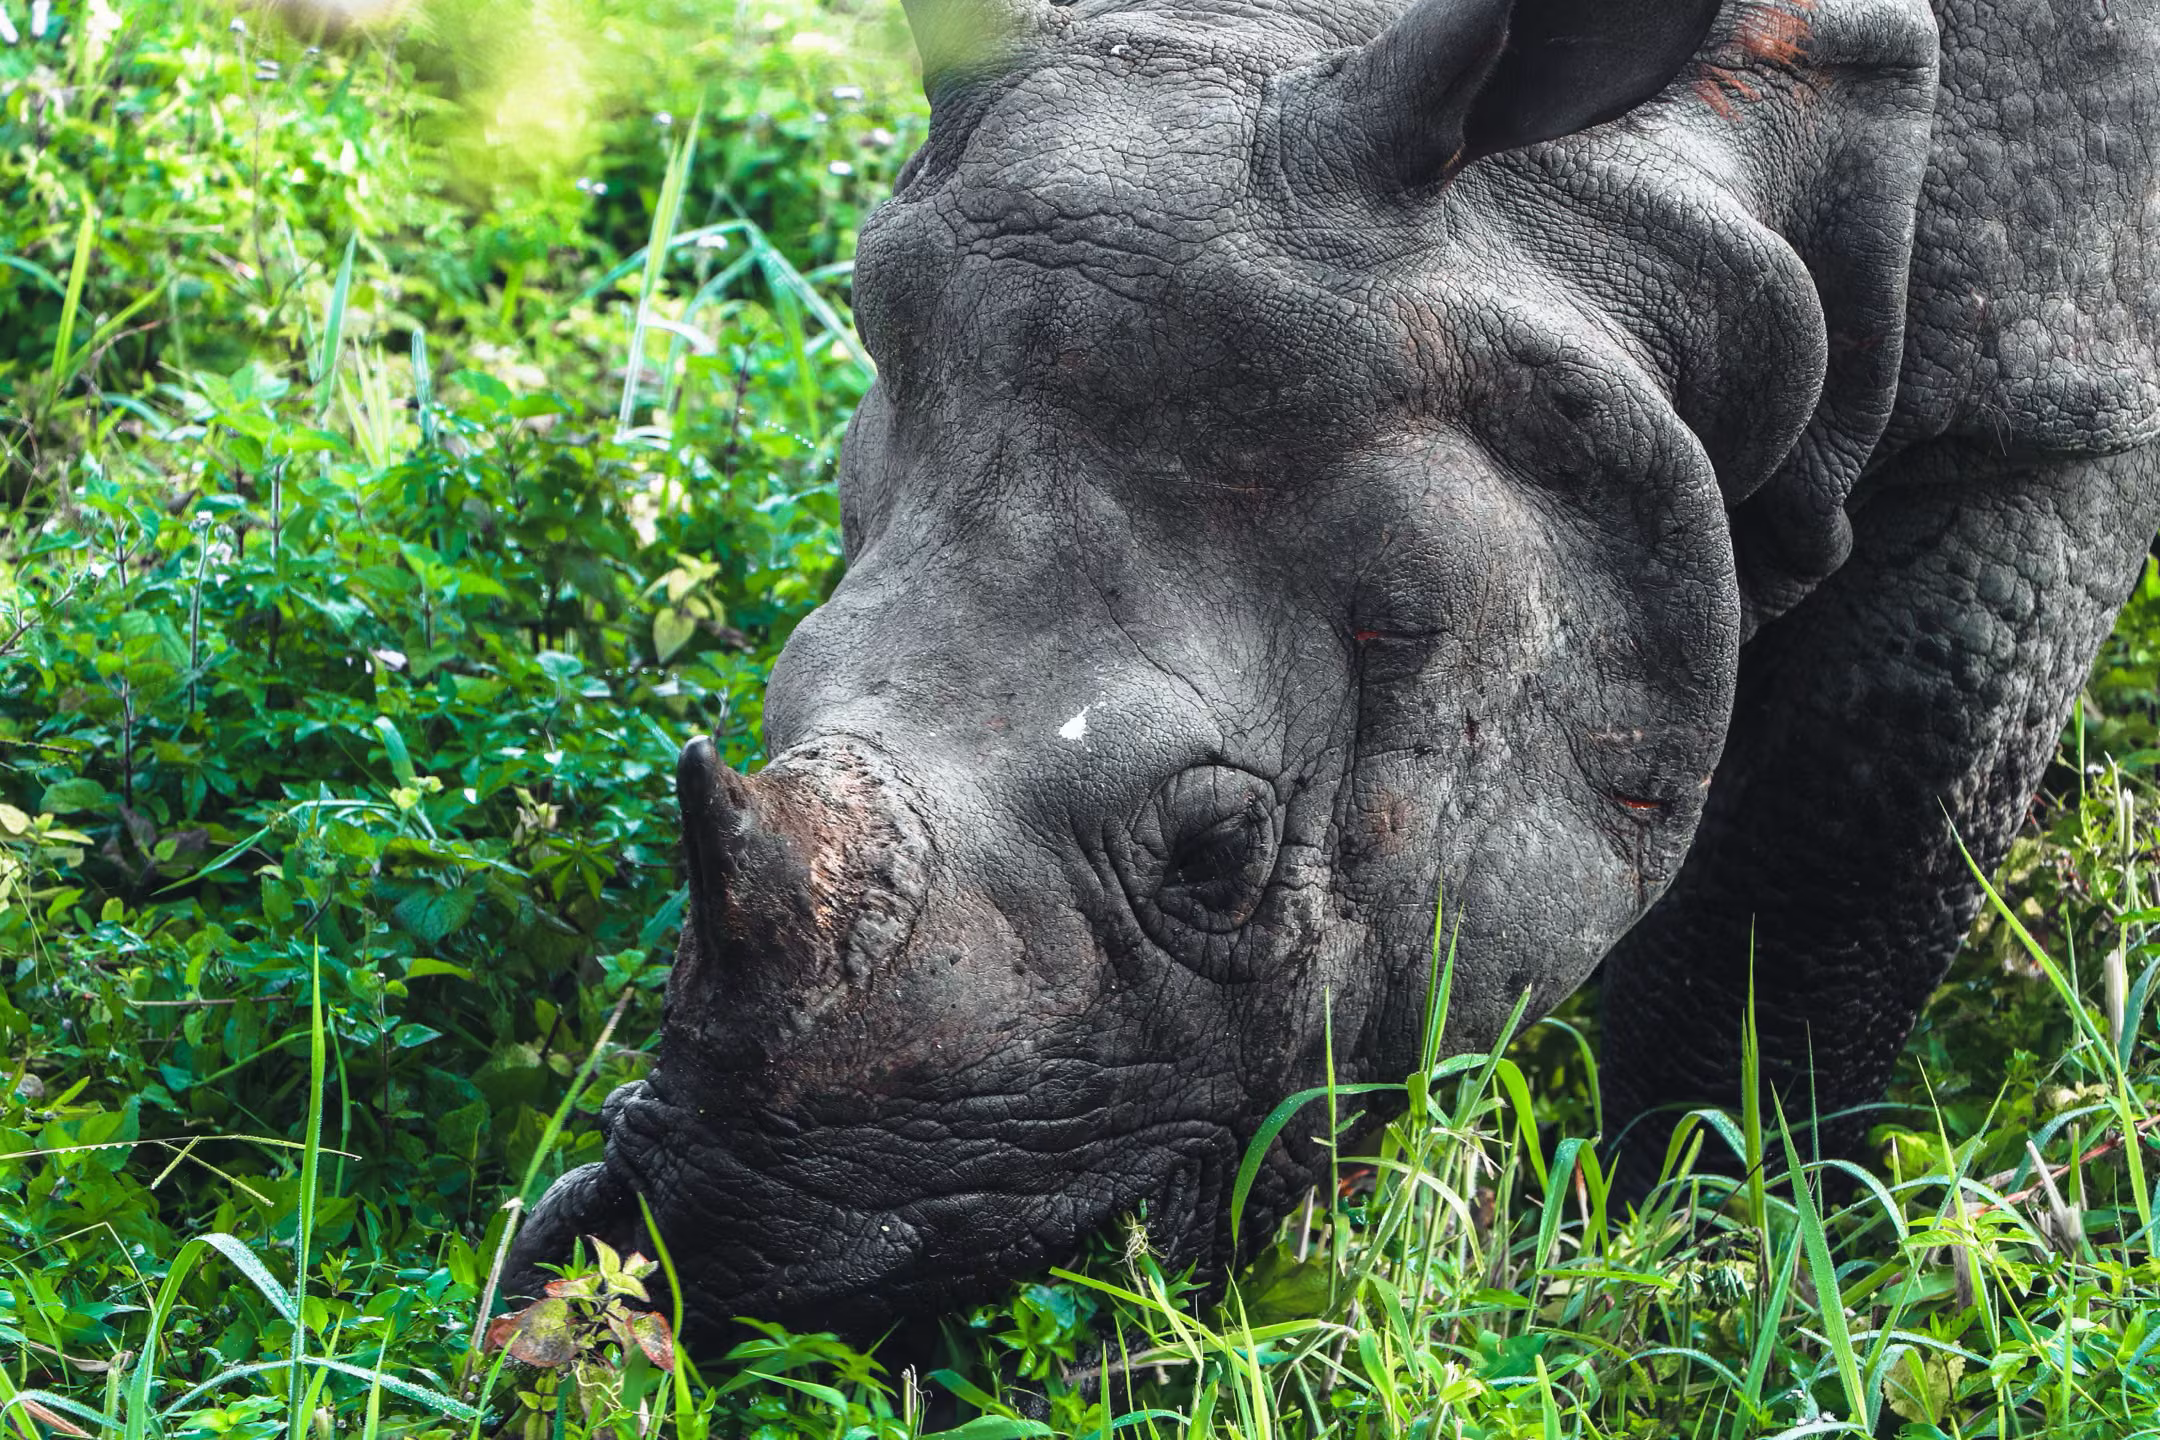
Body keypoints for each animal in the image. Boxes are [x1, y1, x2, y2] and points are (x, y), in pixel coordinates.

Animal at [510, 0, 2160, 1335]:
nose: (737, 1281)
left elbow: (1822, 867)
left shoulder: (2053, 405)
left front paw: (1707, 1256)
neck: (1648, 190)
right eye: (778, 702)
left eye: (1219, 851)